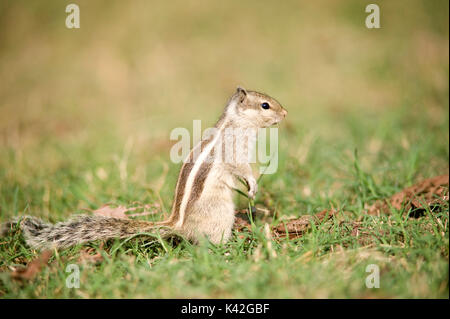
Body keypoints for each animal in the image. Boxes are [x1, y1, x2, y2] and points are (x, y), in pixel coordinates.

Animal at [0, 87, 288, 250]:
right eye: (265, 105)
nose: (285, 113)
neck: (237, 123)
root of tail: (176, 224)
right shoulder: (233, 151)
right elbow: (240, 168)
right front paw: (252, 186)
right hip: (219, 214)